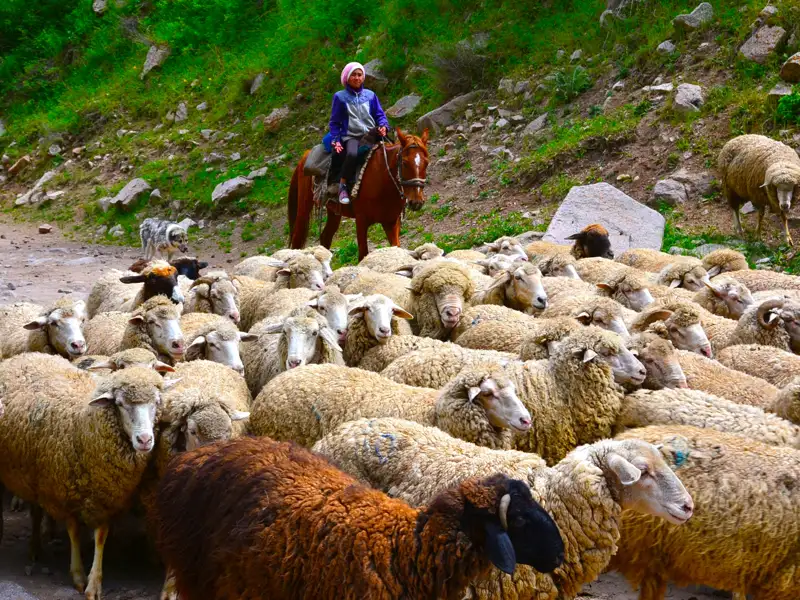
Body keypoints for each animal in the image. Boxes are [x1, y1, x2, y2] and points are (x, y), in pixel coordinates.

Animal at [288, 128, 430, 261]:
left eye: (427, 162)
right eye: (405, 163)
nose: (416, 202)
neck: (383, 181)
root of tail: (305, 155)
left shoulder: (391, 222)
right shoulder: (361, 220)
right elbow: (363, 255)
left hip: (334, 212)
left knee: (325, 237)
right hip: (304, 208)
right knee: (297, 239)